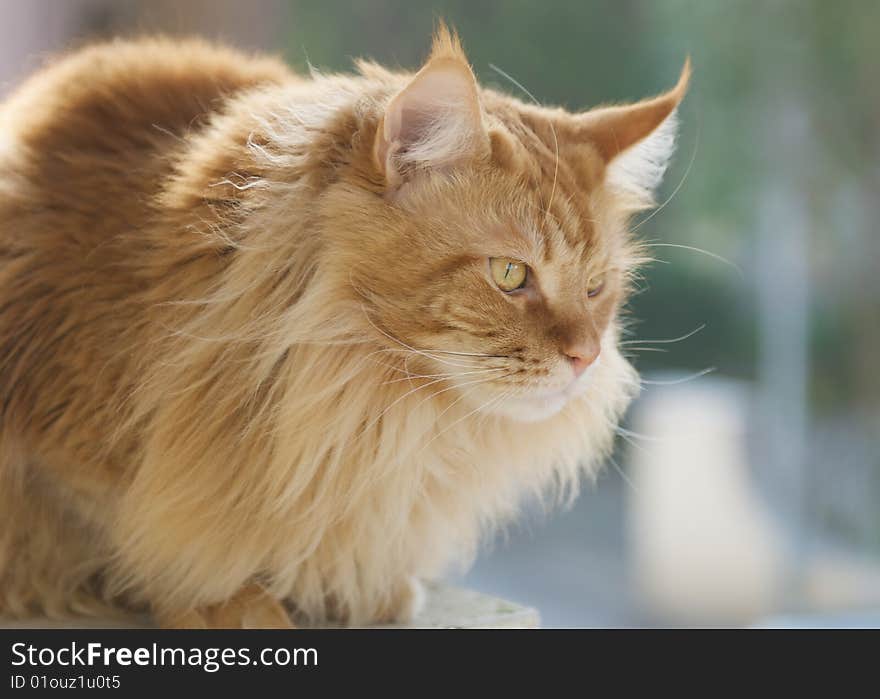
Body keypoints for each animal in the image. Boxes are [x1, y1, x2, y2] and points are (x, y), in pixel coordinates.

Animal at [0, 27, 688, 628]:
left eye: (596, 289)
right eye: (511, 274)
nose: (586, 356)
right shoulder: (52, 445)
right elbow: (137, 531)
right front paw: (225, 598)